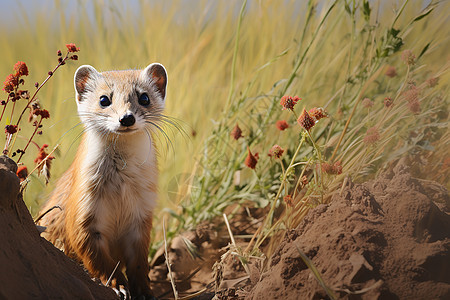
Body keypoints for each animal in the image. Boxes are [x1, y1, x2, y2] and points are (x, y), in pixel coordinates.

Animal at [38, 62, 167, 298]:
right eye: (104, 99)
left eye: (144, 97)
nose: (127, 118)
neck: (120, 194)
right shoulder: (82, 210)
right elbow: (98, 259)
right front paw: (119, 286)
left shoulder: (142, 213)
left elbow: (139, 263)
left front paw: (145, 291)